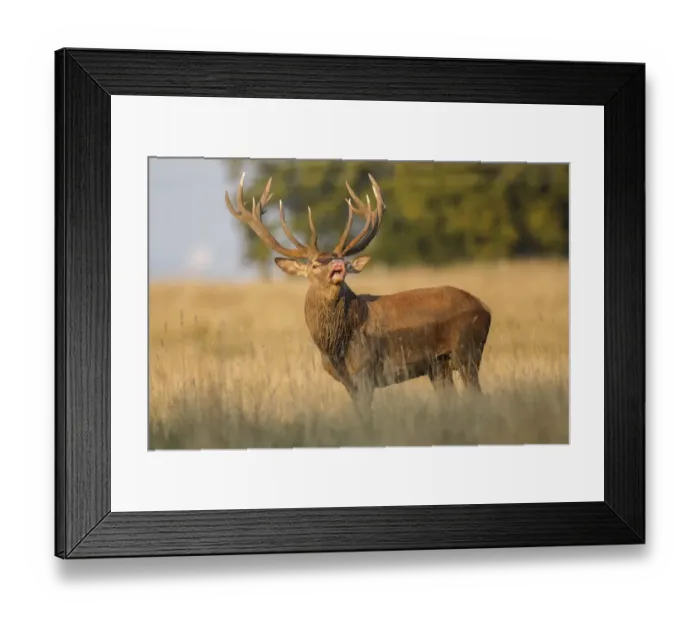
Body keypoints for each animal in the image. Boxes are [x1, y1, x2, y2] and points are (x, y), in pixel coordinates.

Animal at [225, 173, 492, 412]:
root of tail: (486, 308)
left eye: (341, 258)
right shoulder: (347, 381)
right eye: (314, 265)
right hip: (439, 365)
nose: (338, 265)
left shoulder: (365, 372)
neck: (335, 345)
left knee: (476, 394)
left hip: (467, 350)